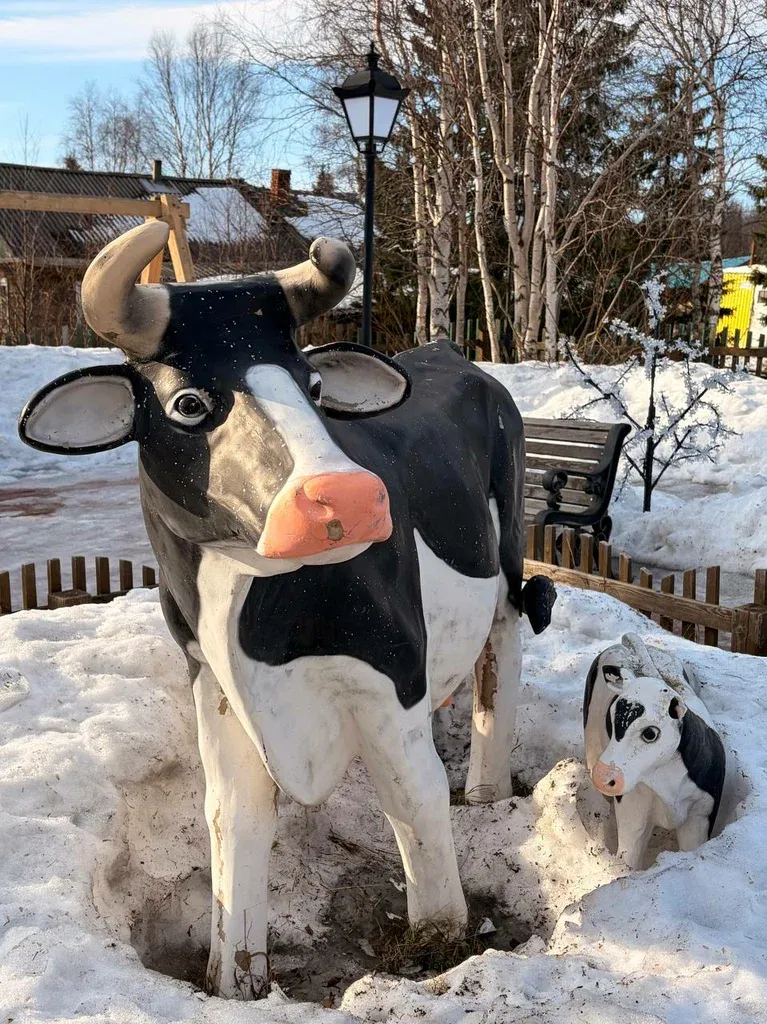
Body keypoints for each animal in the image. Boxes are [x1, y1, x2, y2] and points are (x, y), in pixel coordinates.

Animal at [18, 221, 555, 1000]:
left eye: (315, 385)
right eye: (188, 403)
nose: (351, 499)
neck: (257, 620)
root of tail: (452, 355)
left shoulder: (392, 672)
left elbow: (413, 795)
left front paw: (439, 944)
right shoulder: (212, 681)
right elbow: (233, 817)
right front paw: (233, 979)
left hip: (509, 546)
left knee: (501, 649)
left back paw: (484, 790)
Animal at [584, 633, 725, 869]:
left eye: (650, 733)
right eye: (610, 721)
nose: (603, 776)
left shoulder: (701, 814)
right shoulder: (633, 810)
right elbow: (628, 861)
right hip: (591, 743)